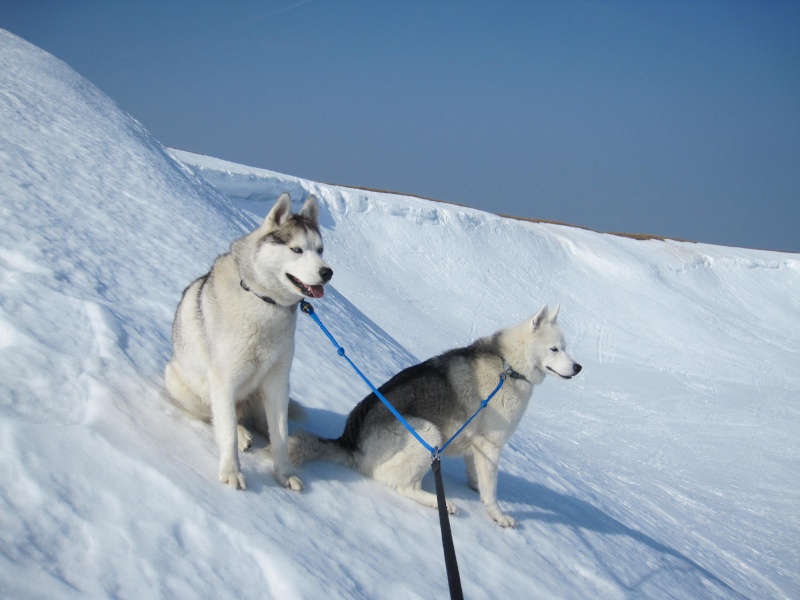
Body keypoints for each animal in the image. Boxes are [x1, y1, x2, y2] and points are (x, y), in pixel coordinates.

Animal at [166, 192, 332, 492]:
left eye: (320, 249)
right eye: (296, 249)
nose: (327, 272)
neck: (264, 301)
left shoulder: (277, 383)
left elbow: (280, 436)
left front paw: (284, 473)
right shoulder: (225, 380)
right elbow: (227, 433)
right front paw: (231, 472)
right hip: (180, 381)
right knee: (219, 418)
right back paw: (243, 435)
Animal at [288, 304, 580, 524]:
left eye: (566, 347)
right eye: (554, 349)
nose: (578, 367)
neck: (508, 366)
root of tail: (349, 442)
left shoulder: (477, 445)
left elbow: (479, 477)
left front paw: (476, 489)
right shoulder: (490, 444)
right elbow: (492, 491)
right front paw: (497, 515)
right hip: (429, 433)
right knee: (397, 483)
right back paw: (441, 503)